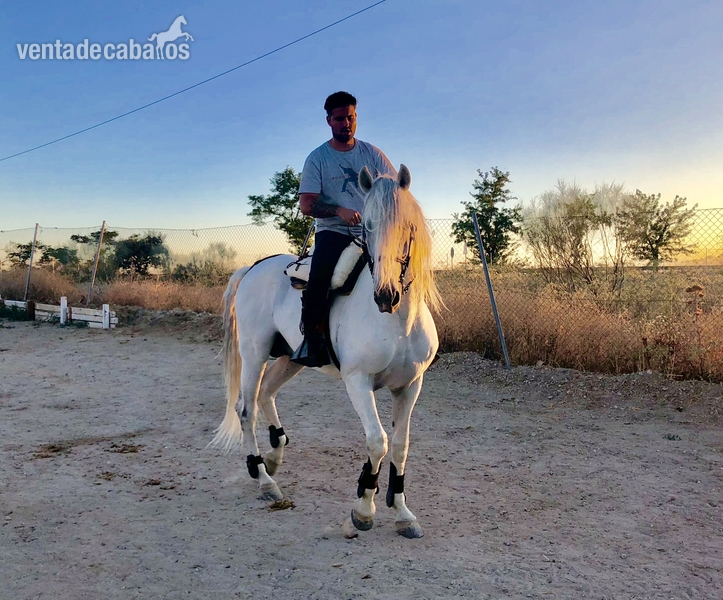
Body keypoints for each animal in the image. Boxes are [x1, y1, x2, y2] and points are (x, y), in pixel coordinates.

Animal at [209, 164, 441, 538]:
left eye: (407, 227)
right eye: (367, 225)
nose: (385, 295)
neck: (398, 322)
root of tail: (255, 267)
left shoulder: (410, 387)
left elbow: (400, 446)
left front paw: (402, 512)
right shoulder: (358, 382)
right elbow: (378, 441)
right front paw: (364, 508)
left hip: (291, 359)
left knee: (266, 394)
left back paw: (272, 459)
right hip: (255, 352)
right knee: (246, 408)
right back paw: (263, 479)